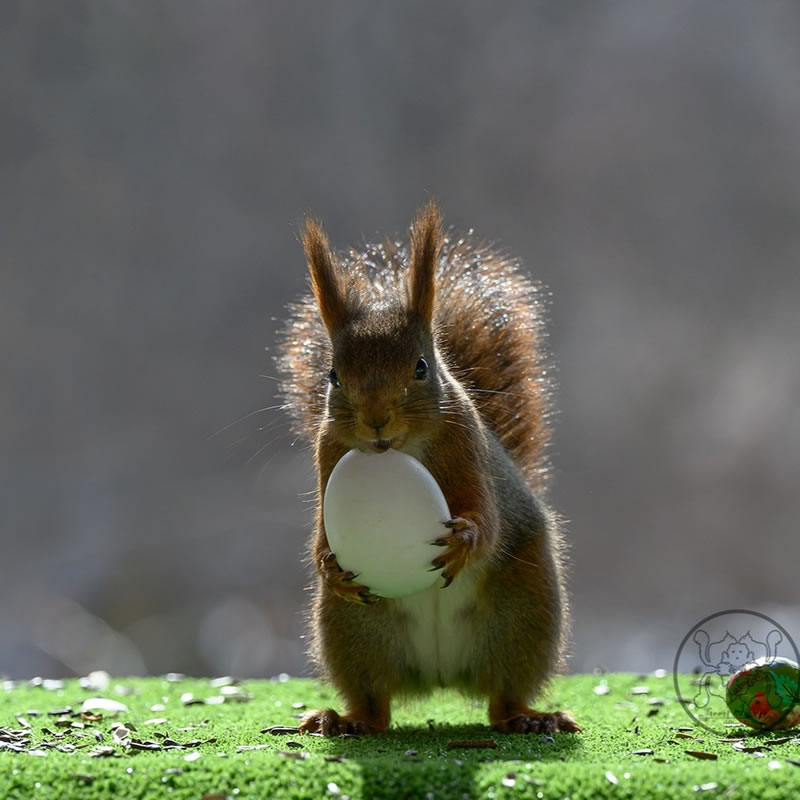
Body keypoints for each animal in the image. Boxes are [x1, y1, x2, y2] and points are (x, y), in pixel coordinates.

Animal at [278, 203, 580, 736]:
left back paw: (528, 718)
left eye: (421, 367)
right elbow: (320, 531)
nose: (376, 420)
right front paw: (328, 565)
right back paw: (345, 721)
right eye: (333, 376)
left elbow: (486, 517)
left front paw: (464, 542)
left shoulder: (467, 448)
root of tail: (441, 675)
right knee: (376, 703)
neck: (396, 451)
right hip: (353, 630)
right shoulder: (327, 456)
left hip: (526, 613)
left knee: (503, 696)